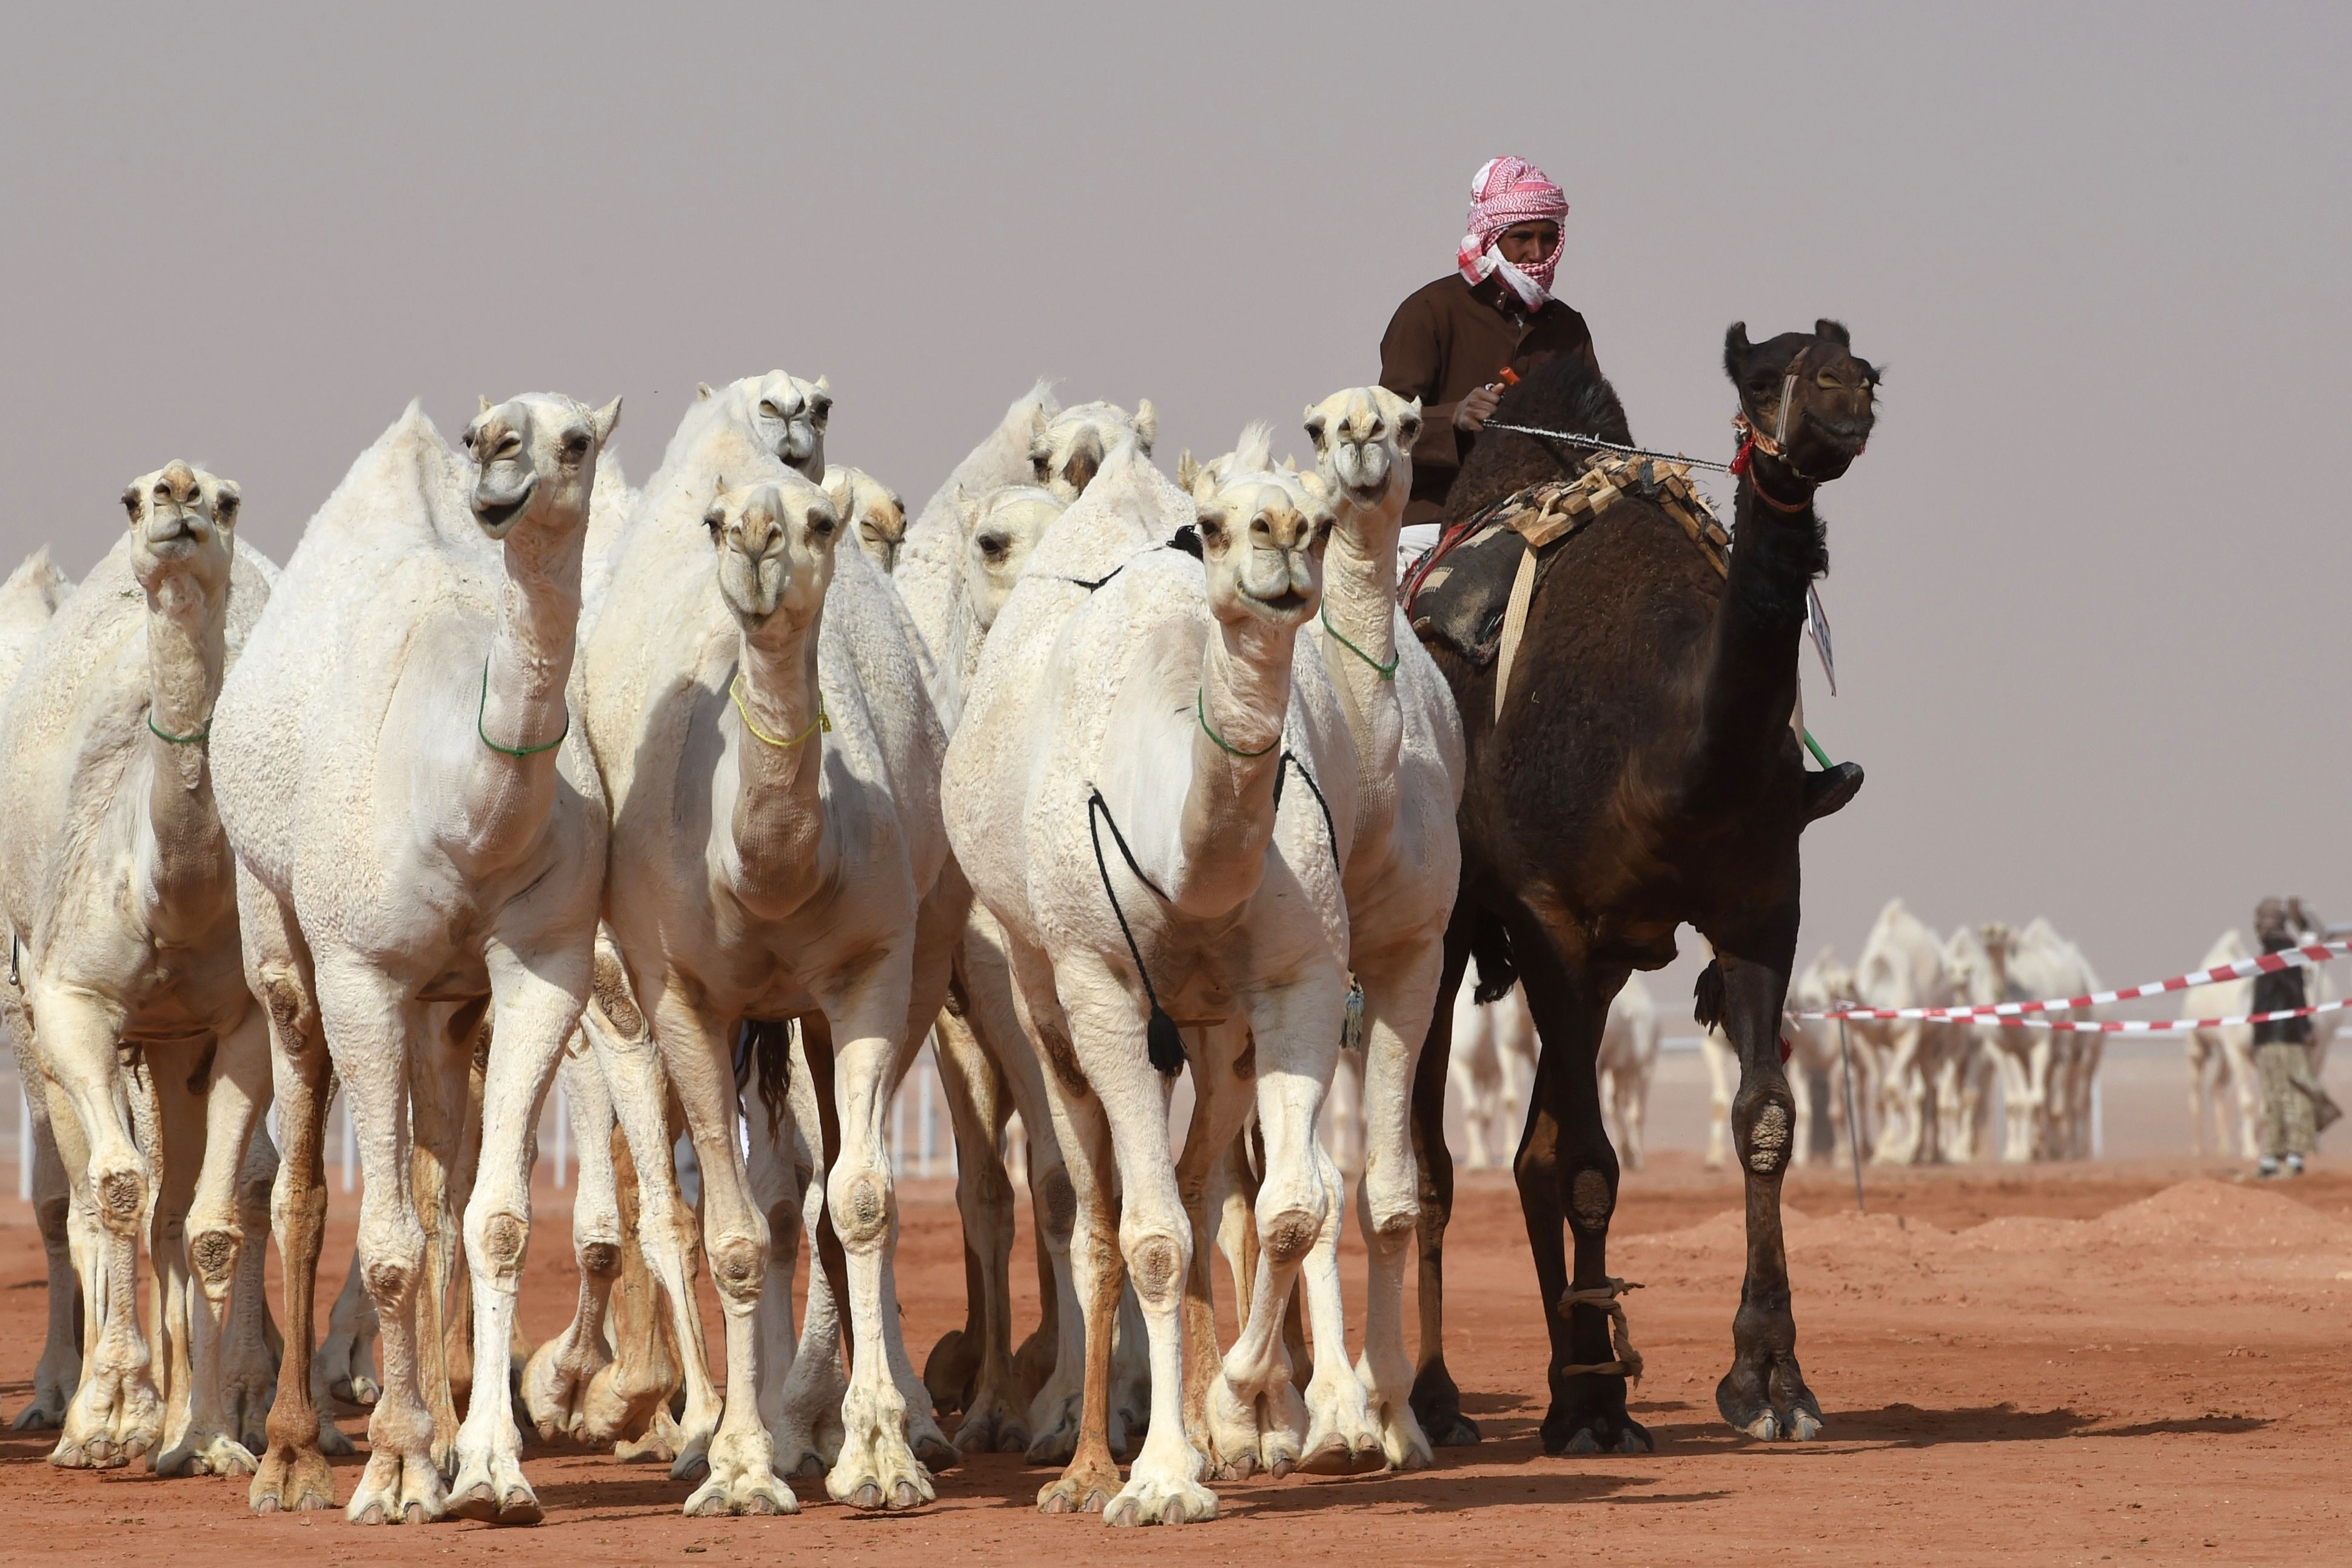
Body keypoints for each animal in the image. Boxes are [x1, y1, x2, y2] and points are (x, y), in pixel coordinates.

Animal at [0, 465, 275, 1486]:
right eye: (133, 497)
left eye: (229, 501)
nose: (180, 490)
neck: (171, 893)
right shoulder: (72, 1000)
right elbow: (114, 1189)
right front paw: (108, 1417)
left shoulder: (238, 1021)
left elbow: (213, 1219)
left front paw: (212, 1432)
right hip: (42, 1018)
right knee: (85, 1196)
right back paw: (86, 1404)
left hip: (175, 1044)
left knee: (180, 1203)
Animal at [210, 385, 621, 1523]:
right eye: (484, 434)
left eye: (578, 438)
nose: (500, 459)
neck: (466, 805)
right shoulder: (362, 971)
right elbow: (383, 1241)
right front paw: (392, 1467)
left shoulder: (544, 962)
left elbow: (494, 1220)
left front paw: (487, 1468)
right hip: (278, 932)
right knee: (300, 1184)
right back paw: (291, 1453)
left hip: (448, 1004)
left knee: (440, 1181)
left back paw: (435, 1437)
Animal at [950, 435, 1364, 1523]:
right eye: (1215, 527)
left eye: (1319, 522)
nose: (1278, 542)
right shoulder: (1098, 986)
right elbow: (1147, 1238)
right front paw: (1163, 1479)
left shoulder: (1300, 980)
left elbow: (1289, 1209)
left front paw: (1233, 1412)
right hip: (1038, 993)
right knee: (1097, 1209)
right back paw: (1087, 1464)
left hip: (1214, 1030)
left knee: (1199, 1180)